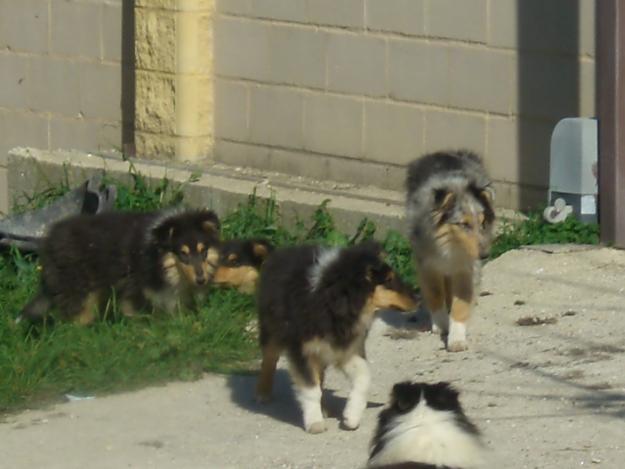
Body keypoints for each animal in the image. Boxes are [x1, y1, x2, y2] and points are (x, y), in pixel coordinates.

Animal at [20, 207, 219, 324]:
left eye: (203, 251)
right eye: (183, 253)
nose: (201, 280)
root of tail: (49, 241)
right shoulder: (135, 289)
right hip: (79, 286)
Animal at [251, 243, 416, 434]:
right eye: (389, 280)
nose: (419, 298)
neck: (335, 304)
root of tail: (278, 252)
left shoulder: (346, 349)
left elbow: (364, 375)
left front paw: (351, 417)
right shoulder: (302, 350)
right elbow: (310, 388)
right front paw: (315, 422)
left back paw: (324, 409)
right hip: (272, 328)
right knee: (269, 359)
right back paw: (263, 393)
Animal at [404, 151, 498, 352]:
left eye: (482, 222)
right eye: (464, 224)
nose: (485, 255)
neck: (451, 246)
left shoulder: (466, 268)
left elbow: (460, 304)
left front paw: (456, 339)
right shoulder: (427, 264)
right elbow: (435, 294)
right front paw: (440, 325)